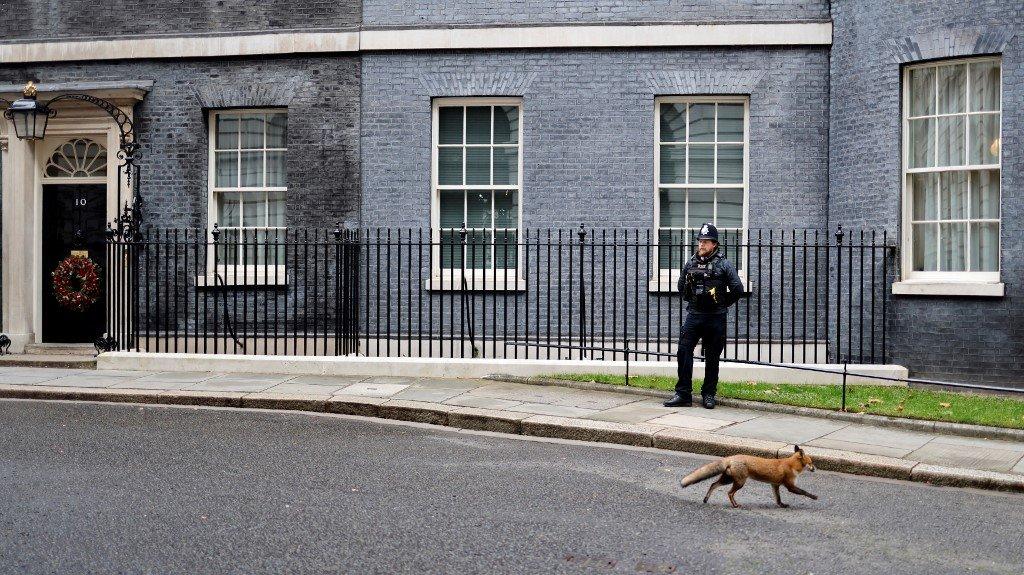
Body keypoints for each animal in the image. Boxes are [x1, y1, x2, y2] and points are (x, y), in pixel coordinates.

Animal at [680, 445, 818, 508]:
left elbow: (778, 499)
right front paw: (814, 497)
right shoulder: (789, 485)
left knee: (713, 484)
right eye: (811, 463)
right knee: (729, 493)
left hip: (727, 480)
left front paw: (782, 505)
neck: (791, 465)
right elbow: (804, 492)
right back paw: (735, 505)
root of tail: (731, 458)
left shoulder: (775, 485)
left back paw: (706, 499)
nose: (815, 469)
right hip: (739, 483)